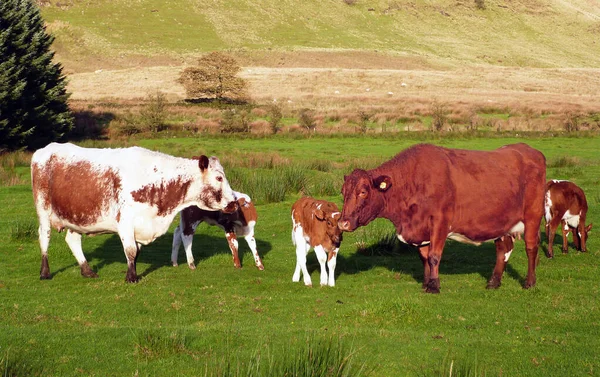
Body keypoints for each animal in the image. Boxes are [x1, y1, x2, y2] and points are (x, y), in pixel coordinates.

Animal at [31, 142, 237, 282]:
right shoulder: (126, 222)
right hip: (43, 210)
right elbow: (130, 250)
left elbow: (136, 251)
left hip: (76, 216)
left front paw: (134, 272)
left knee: (72, 240)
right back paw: (45, 272)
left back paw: (87, 270)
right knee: (44, 237)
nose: (234, 202)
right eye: (219, 178)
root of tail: (45, 149)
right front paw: (131, 277)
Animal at [340, 142, 548, 292]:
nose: (343, 222)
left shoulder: (440, 222)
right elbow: (424, 257)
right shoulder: (421, 228)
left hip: (533, 216)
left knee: (531, 247)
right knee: (503, 249)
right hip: (502, 222)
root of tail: (527, 149)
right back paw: (493, 282)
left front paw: (434, 286)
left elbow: (434, 256)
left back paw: (530, 282)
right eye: (343, 192)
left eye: (363, 192)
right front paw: (426, 283)